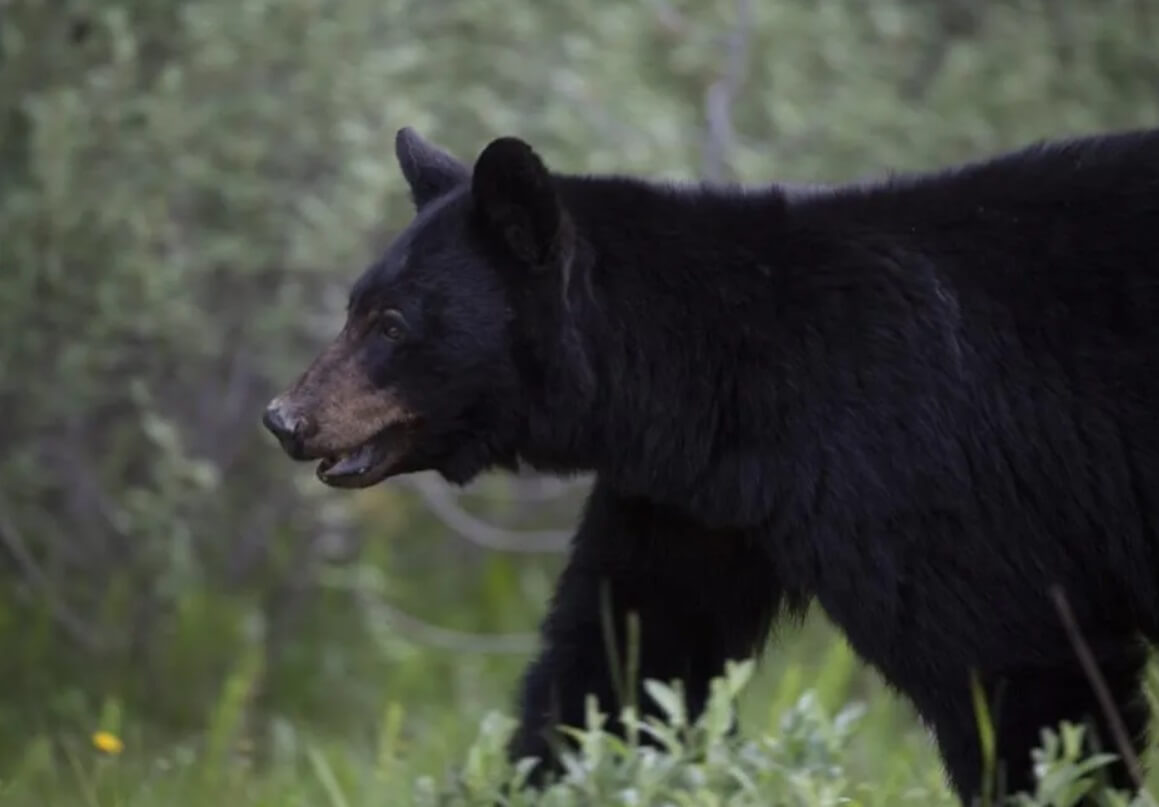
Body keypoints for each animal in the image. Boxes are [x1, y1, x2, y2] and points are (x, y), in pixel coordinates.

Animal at [265, 126, 1159, 802]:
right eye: (353, 307)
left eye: (391, 323)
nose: (284, 418)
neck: (721, 379)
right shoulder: (692, 501)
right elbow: (625, 661)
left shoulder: (914, 464)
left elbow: (1016, 664)